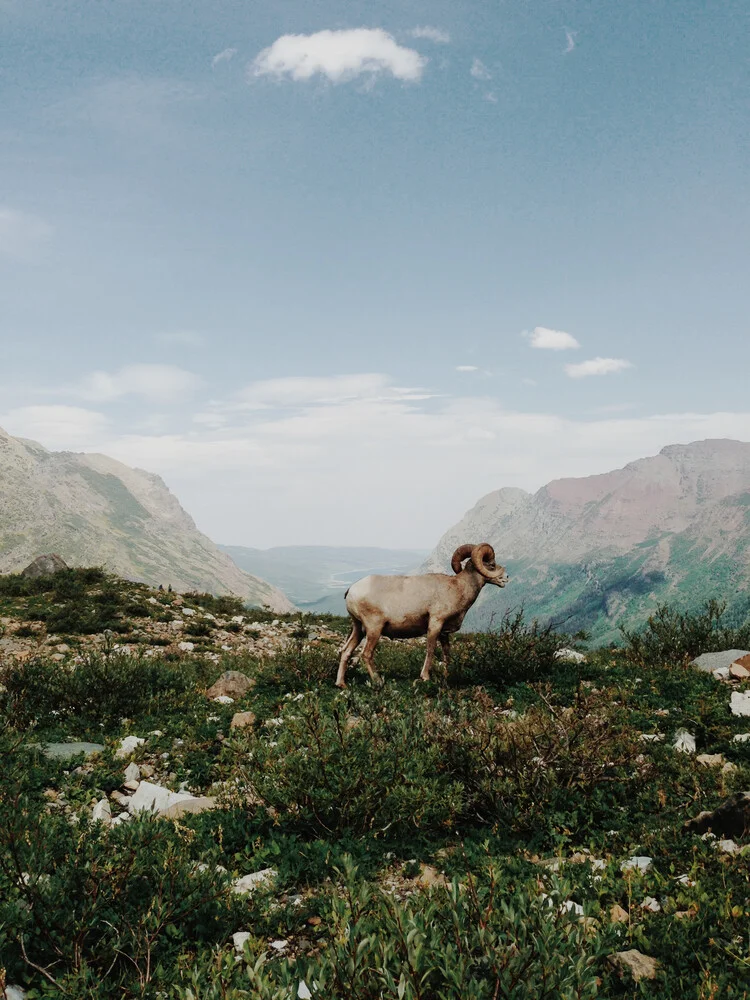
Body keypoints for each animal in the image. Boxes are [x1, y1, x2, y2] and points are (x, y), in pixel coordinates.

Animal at [336, 544, 508, 692]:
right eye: (491, 565)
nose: (506, 578)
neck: (458, 588)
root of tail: (351, 590)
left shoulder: (444, 633)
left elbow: (447, 653)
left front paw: (446, 675)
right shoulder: (435, 624)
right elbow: (430, 649)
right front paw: (425, 677)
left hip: (358, 629)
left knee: (346, 651)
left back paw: (341, 684)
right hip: (374, 629)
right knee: (366, 654)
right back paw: (378, 681)